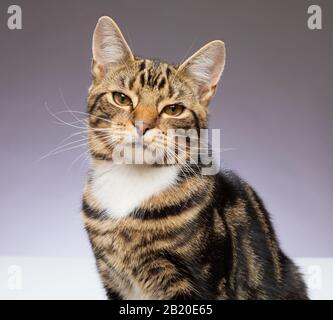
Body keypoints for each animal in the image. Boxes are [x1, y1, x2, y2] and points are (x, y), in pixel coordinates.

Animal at [81, 15, 308, 300]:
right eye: (121, 98)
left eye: (173, 109)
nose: (143, 125)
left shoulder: (196, 280)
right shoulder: (112, 278)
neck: (131, 182)